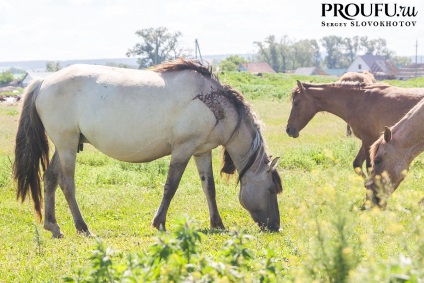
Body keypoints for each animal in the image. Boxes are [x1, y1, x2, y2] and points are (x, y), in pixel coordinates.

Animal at [12, 59, 282, 237]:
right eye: (271, 189)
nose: (275, 226)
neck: (214, 103)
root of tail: (43, 81)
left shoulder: (201, 150)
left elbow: (209, 188)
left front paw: (217, 223)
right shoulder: (183, 149)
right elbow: (170, 187)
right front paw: (159, 222)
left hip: (64, 145)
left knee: (50, 179)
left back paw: (53, 226)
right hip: (67, 144)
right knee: (66, 184)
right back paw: (82, 227)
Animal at [284, 81, 424, 178]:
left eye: (296, 103)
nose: (288, 129)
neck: (359, 101)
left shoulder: (369, 140)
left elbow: (369, 167)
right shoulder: (368, 141)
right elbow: (357, 165)